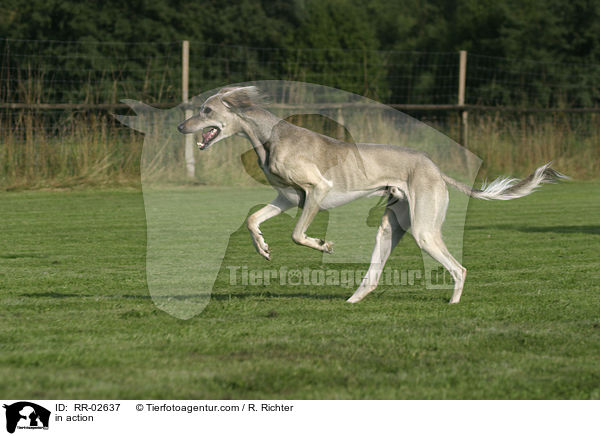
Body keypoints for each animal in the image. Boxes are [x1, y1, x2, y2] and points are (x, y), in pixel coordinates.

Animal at [176, 85, 564, 304]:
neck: (270, 136)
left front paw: (323, 245)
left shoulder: (316, 191)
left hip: (424, 230)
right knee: (374, 275)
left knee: (459, 268)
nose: (180, 126)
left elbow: (298, 234)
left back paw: (453, 305)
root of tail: (435, 168)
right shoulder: (288, 198)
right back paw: (353, 301)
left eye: (206, 110)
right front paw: (262, 247)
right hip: (391, 227)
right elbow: (252, 219)